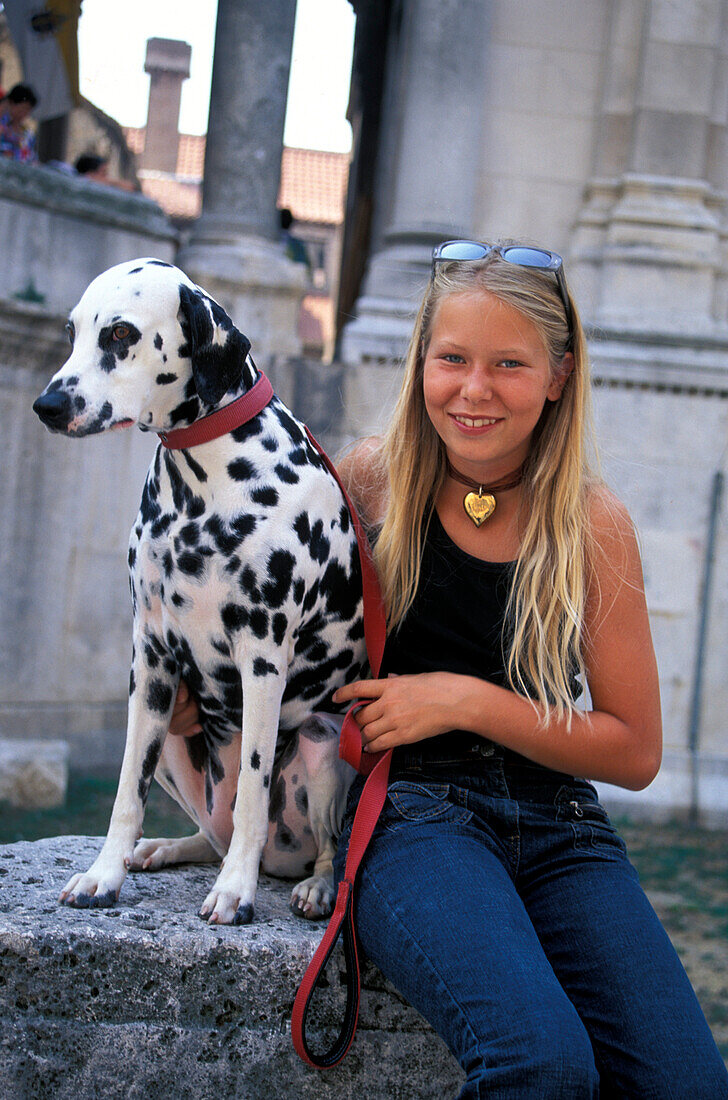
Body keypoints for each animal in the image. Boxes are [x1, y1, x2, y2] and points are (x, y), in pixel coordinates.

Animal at [32, 257, 367, 928]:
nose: (47, 404)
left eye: (120, 334)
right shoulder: (150, 661)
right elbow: (125, 794)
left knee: (320, 844)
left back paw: (314, 887)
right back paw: (161, 848)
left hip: (321, 746)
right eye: (73, 331)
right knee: (209, 834)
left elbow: (253, 796)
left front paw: (235, 891)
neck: (202, 485)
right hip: (172, 746)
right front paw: (104, 875)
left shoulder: (262, 660)